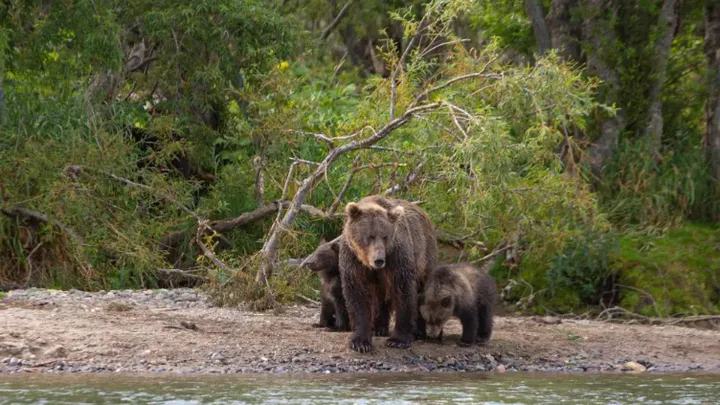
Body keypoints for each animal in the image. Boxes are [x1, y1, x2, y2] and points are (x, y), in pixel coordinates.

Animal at [340, 195, 438, 353]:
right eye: (370, 236)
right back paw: (379, 328)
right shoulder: (352, 259)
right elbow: (357, 293)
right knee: (379, 298)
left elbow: (403, 292)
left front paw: (398, 340)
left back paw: (420, 332)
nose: (379, 260)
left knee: (424, 290)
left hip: (425, 255)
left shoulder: (396, 256)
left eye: (385, 236)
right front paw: (361, 342)